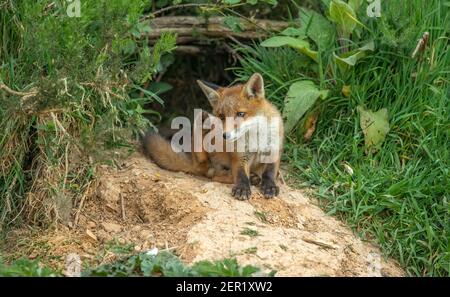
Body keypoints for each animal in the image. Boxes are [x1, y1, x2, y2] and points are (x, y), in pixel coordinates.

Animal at [143, 73, 284, 200]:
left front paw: (270, 186)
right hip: (202, 122)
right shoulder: (239, 155)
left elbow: (270, 172)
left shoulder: (274, 149)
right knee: (213, 174)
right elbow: (240, 174)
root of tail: (193, 162)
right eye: (221, 116)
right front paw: (242, 188)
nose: (225, 136)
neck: (256, 137)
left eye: (240, 114)